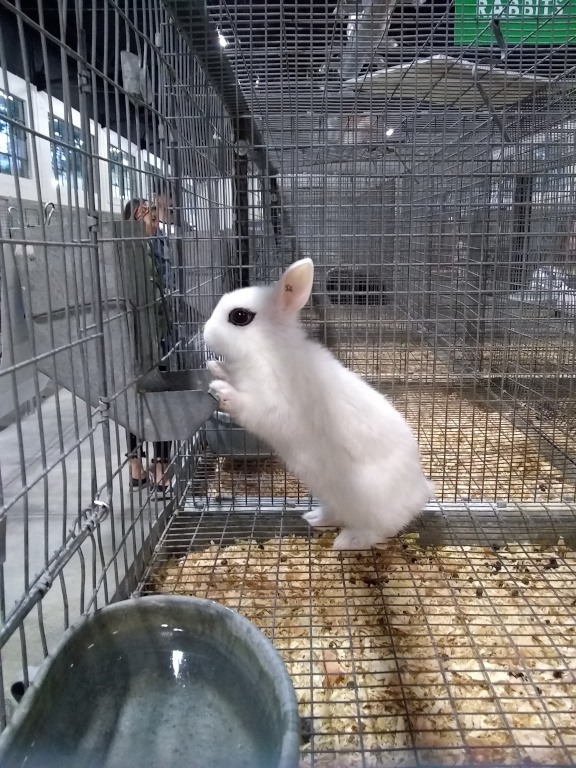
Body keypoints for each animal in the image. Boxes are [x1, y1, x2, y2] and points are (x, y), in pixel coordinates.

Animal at [203, 258, 433, 550]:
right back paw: (314, 517)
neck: (268, 350)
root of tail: (421, 492)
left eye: (240, 317)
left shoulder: (269, 405)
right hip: (327, 491)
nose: (205, 331)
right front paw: (215, 367)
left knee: (378, 530)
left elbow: (246, 405)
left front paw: (221, 390)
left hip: (368, 506)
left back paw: (346, 541)